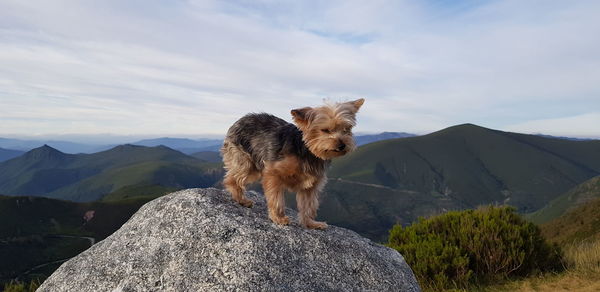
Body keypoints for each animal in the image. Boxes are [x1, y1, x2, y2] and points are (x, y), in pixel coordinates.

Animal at [219, 99, 364, 229]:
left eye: (347, 129)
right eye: (325, 130)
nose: (342, 145)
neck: (308, 150)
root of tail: (240, 120)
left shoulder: (311, 185)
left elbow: (309, 205)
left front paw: (310, 223)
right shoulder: (273, 174)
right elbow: (276, 198)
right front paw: (278, 218)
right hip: (247, 162)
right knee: (232, 179)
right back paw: (241, 199)